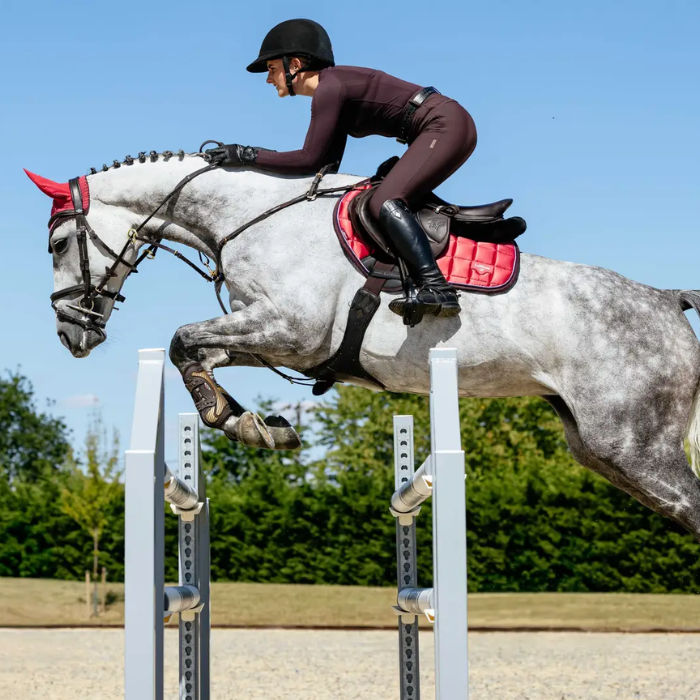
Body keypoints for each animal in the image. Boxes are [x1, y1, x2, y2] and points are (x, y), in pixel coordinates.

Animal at [26, 150, 700, 543]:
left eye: (57, 244)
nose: (70, 333)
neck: (248, 216)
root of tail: (669, 300)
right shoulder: (275, 337)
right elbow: (196, 352)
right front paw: (256, 425)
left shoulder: (290, 328)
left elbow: (181, 339)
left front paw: (241, 423)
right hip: (598, 448)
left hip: (634, 448)